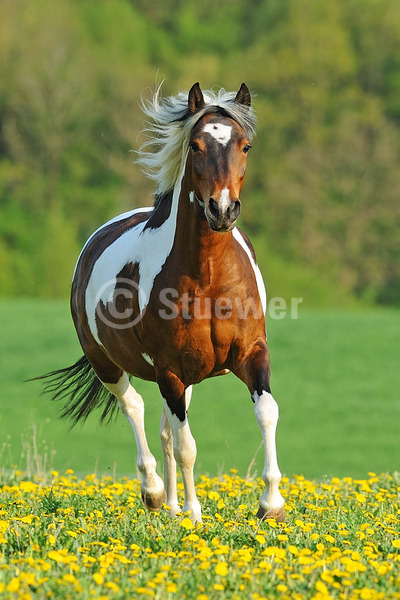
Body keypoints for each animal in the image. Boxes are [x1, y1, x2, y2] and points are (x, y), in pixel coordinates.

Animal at [39, 82, 284, 524]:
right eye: (196, 144)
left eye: (245, 146)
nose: (222, 210)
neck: (208, 278)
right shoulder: (169, 369)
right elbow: (187, 446)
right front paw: (193, 513)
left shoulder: (251, 353)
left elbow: (266, 412)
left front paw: (271, 504)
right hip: (110, 365)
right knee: (136, 408)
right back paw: (155, 493)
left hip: (187, 378)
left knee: (166, 428)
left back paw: (168, 504)